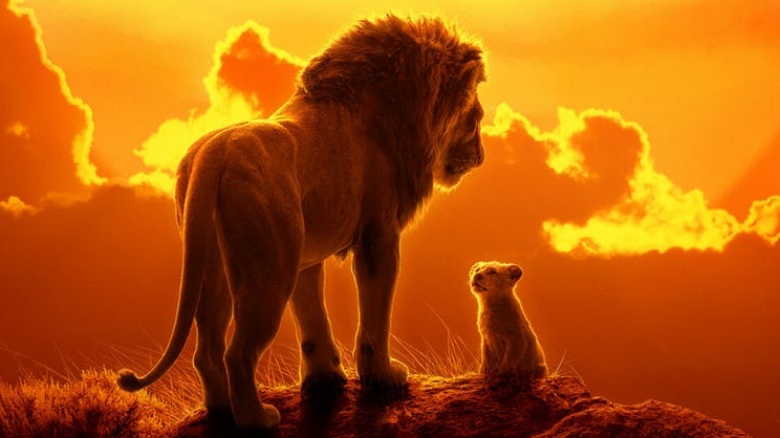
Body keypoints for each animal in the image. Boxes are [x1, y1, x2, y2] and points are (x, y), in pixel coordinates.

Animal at [117, 15, 486, 429]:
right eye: (476, 119)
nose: (481, 156)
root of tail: (214, 154)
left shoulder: (306, 255)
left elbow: (312, 318)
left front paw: (325, 378)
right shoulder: (379, 235)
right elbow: (375, 315)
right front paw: (384, 377)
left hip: (215, 266)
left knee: (207, 349)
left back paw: (221, 409)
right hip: (268, 272)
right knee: (238, 353)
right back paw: (257, 419)